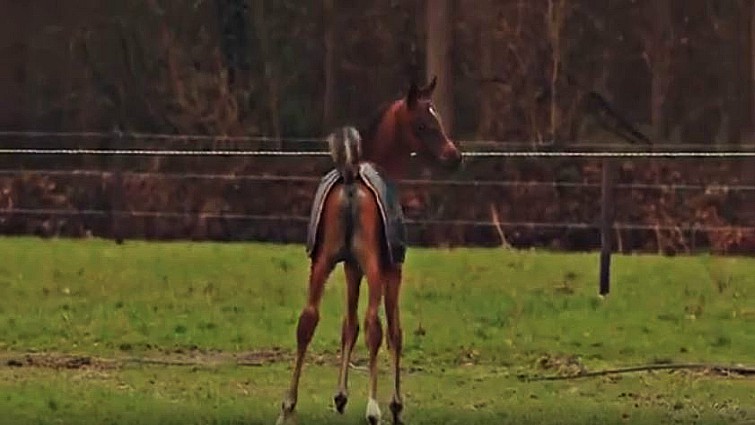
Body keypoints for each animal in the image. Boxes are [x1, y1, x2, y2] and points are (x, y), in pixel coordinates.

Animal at [278, 77, 460, 424]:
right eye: (423, 123)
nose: (455, 157)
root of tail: (351, 178)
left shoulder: (351, 268)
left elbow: (348, 325)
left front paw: (340, 396)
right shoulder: (391, 269)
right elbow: (394, 331)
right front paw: (396, 405)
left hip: (322, 263)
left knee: (307, 321)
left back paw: (288, 405)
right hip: (375, 268)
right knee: (374, 325)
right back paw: (373, 408)